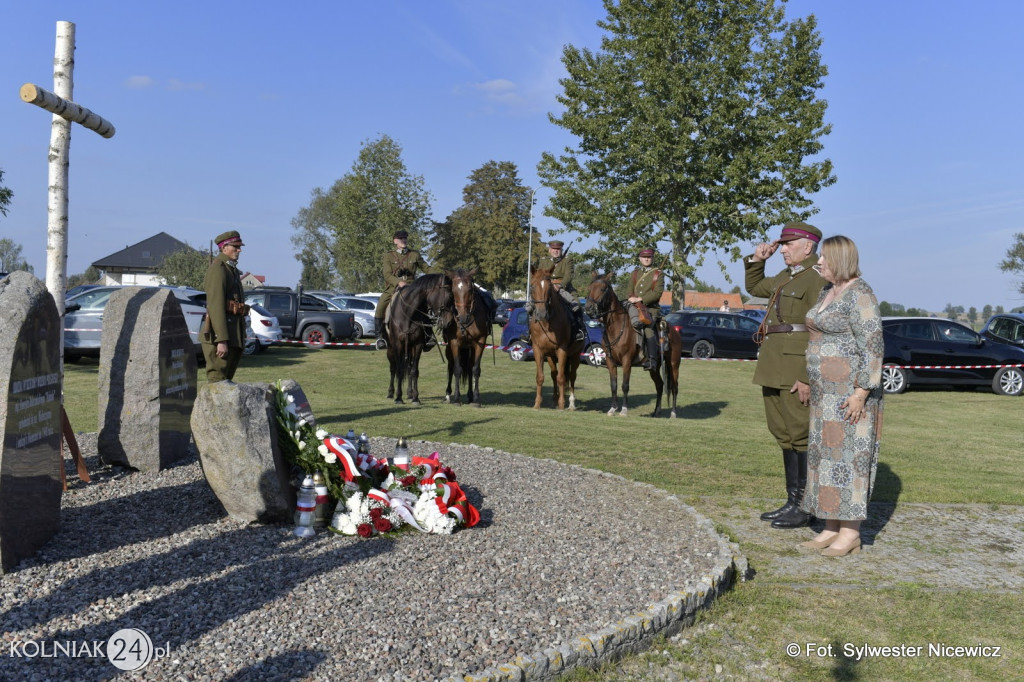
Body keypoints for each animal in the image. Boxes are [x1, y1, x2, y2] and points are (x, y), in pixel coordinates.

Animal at [385, 272, 450, 403]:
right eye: (446, 297)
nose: (447, 322)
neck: (408, 314)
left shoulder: (417, 345)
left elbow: (414, 371)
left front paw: (415, 398)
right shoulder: (398, 345)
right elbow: (399, 370)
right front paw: (398, 397)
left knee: (409, 368)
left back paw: (410, 393)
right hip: (391, 348)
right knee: (393, 368)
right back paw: (391, 392)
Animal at [442, 266, 489, 403]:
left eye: (469, 289)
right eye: (453, 291)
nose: (462, 317)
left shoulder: (480, 342)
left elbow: (475, 369)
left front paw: (476, 397)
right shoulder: (454, 343)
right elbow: (457, 369)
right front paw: (457, 398)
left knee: (468, 368)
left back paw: (470, 395)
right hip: (449, 349)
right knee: (451, 367)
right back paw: (448, 394)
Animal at [528, 266, 585, 409]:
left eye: (549, 288)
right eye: (532, 286)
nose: (541, 314)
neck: (547, 323)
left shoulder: (562, 350)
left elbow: (562, 378)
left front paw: (561, 404)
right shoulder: (538, 350)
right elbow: (540, 377)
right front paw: (537, 403)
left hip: (575, 355)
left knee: (571, 376)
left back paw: (571, 403)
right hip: (551, 356)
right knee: (554, 374)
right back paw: (555, 398)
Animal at [585, 270, 679, 413]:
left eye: (602, 288)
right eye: (590, 288)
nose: (589, 309)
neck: (616, 328)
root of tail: (674, 331)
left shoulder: (626, 361)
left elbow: (625, 385)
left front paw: (624, 410)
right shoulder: (610, 361)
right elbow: (613, 385)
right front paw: (613, 409)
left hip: (673, 364)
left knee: (674, 387)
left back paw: (673, 412)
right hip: (655, 368)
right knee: (660, 385)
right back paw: (656, 411)